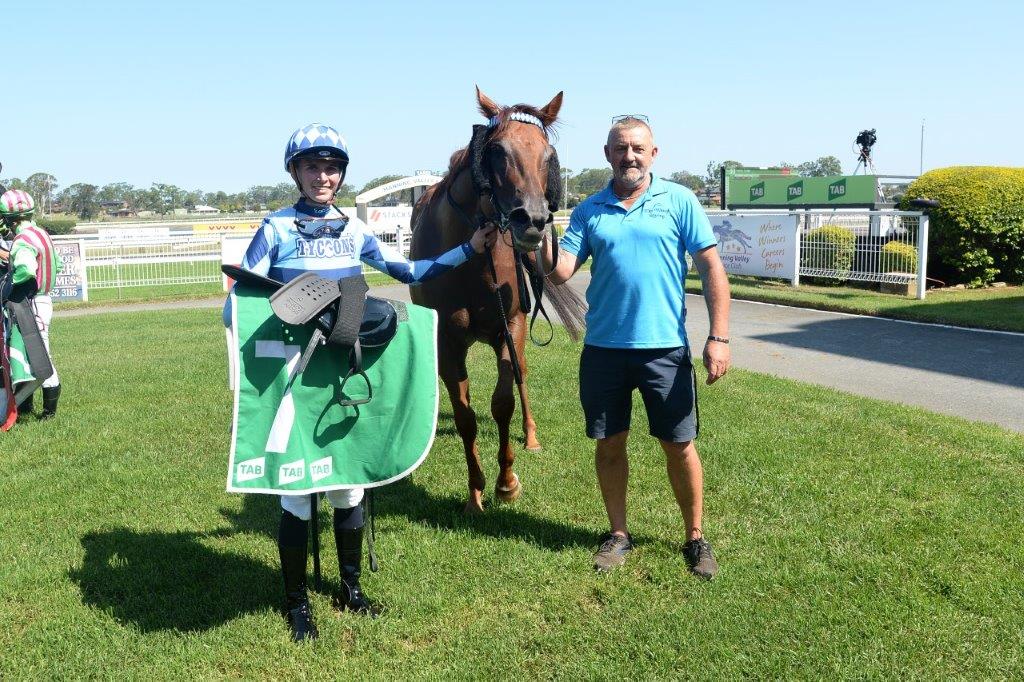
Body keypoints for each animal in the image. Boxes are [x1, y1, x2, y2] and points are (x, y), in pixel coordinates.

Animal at [407, 87, 585, 512]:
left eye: (548, 155)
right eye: (499, 151)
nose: (533, 220)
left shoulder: (511, 326)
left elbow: (503, 401)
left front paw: (506, 482)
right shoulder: (448, 342)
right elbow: (465, 414)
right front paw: (475, 492)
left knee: (522, 377)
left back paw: (531, 435)